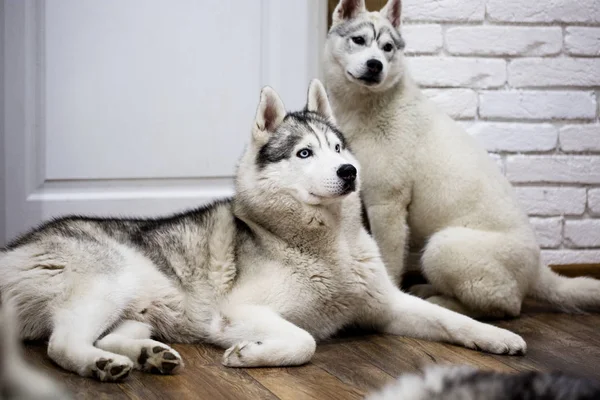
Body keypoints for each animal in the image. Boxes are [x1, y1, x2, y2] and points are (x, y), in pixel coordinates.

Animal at [0, 80, 524, 382]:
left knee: (110, 336)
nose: (350, 171)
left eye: (338, 147)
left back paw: (149, 354)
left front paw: (496, 337)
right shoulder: (241, 311)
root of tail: (16, 248)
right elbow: (304, 341)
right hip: (109, 284)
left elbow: (450, 320)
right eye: (304, 153)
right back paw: (100, 365)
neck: (328, 245)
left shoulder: (387, 305)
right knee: (62, 344)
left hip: (142, 309)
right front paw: (248, 355)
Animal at [324, 0, 600, 318]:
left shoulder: (386, 204)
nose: (375, 65)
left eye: (387, 48)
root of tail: (538, 271)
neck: (372, 105)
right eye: (359, 40)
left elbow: (388, 259)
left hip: (443, 247)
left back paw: (442, 302)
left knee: (506, 305)